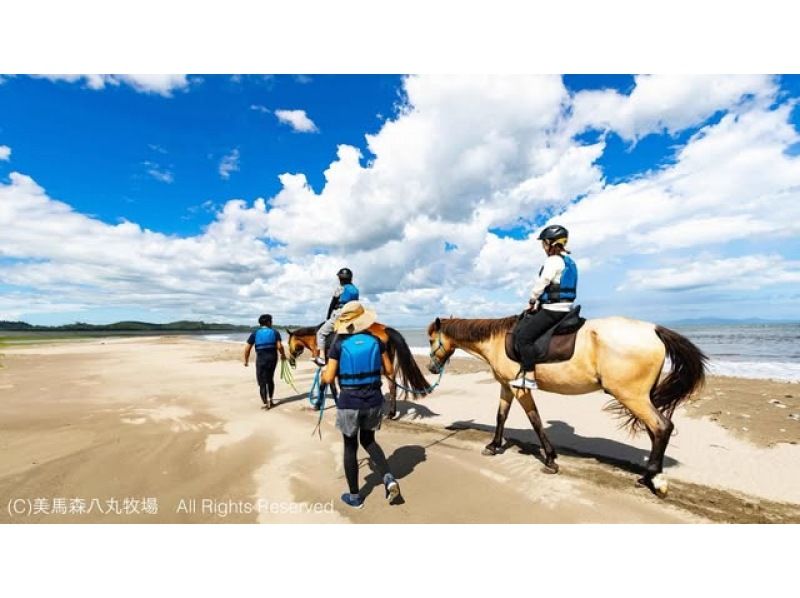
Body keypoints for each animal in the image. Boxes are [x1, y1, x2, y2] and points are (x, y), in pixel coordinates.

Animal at [288, 324, 432, 418]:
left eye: (289, 343)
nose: (290, 361)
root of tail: (385, 329)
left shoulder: (329, 369)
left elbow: (326, 386)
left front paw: (319, 405)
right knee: (392, 386)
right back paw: (390, 413)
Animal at [424, 314, 708, 496]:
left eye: (430, 340)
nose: (431, 368)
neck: (497, 339)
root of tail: (653, 330)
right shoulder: (506, 386)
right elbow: (501, 416)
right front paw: (494, 446)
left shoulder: (520, 389)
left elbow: (535, 420)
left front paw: (550, 459)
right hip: (641, 398)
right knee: (655, 430)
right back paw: (651, 476)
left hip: (632, 396)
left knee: (662, 426)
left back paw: (653, 478)